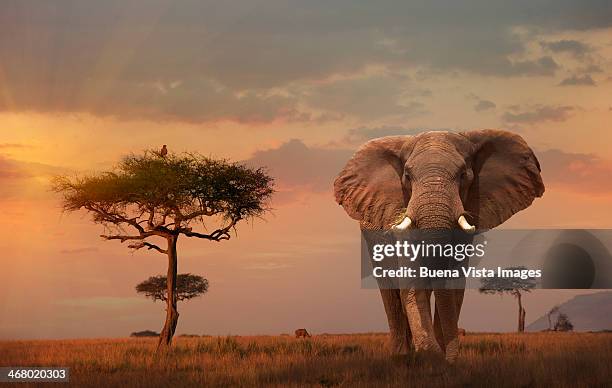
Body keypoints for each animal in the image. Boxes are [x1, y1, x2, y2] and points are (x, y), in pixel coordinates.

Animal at [334, 130, 544, 364]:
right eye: (407, 176)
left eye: (463, 175)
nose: (449, 358)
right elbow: (411, 278)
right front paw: (430, 355)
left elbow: (454, 280)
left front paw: (442, 359)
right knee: (390, 290)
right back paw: (401, 356)